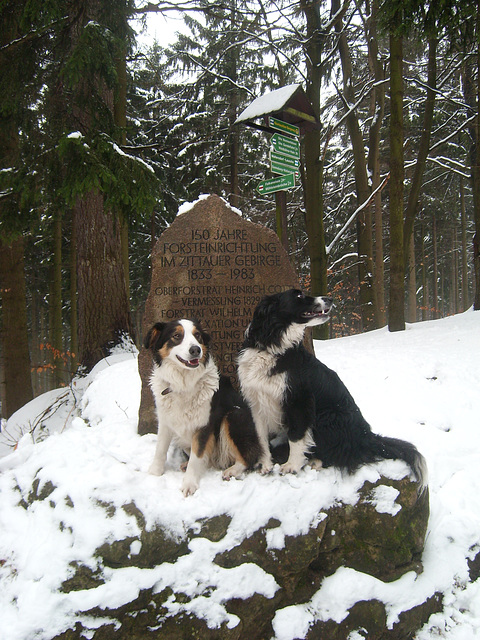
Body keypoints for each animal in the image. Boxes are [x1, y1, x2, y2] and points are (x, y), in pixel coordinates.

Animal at [144, 318, 262, 496]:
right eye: (176, 336)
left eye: (197, 335)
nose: (195, 349)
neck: (183, 384)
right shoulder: (166, 420)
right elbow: (160, 449)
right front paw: (154, 473)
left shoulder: (204, 425)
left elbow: (197, 456)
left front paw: (189, 484)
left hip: (235, 414)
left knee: (250, 457)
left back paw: (232, 470)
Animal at [238, 288, 430, 492]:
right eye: (298, 296)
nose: (329, 298)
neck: (271, 346)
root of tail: (367, 435)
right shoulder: (256, 402)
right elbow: (261, 437)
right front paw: (265, 464)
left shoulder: (299, 402)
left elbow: (296, 437)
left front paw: (292, 466)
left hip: (327, 416)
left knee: (344, 454)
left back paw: (316, 461)